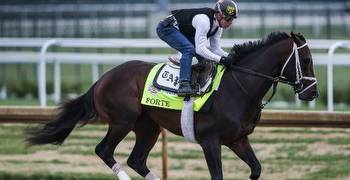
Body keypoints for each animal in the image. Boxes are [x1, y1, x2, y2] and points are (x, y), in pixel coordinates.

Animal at [26, 32, 318, 180]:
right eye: (305, 59)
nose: (312, 92)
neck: (238, 87)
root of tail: (101, 79)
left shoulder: (238, 139)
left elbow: (256, 169)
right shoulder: (210, 141)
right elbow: (218, 176)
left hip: (149, 127)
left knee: (137, 159)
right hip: (122, 121)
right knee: (104, 150)